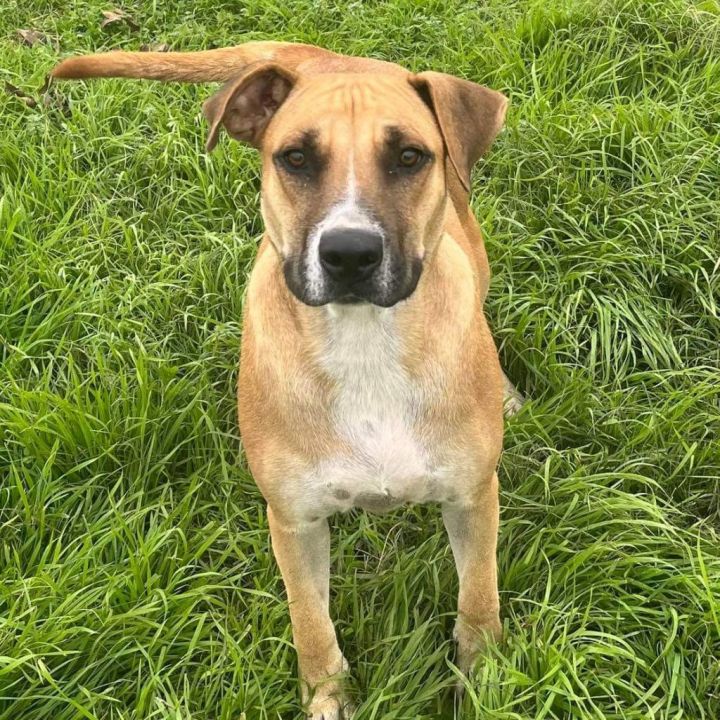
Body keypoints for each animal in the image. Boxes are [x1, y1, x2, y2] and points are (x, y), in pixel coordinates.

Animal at [53, 42, 520, 716]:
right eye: (295, 158)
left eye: (409, 156)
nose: (349, 254)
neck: (363, 341)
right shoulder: (294, 520)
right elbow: (309, 620)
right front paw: (327, 697)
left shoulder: (473, 495)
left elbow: (478, 595)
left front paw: (484, 678)